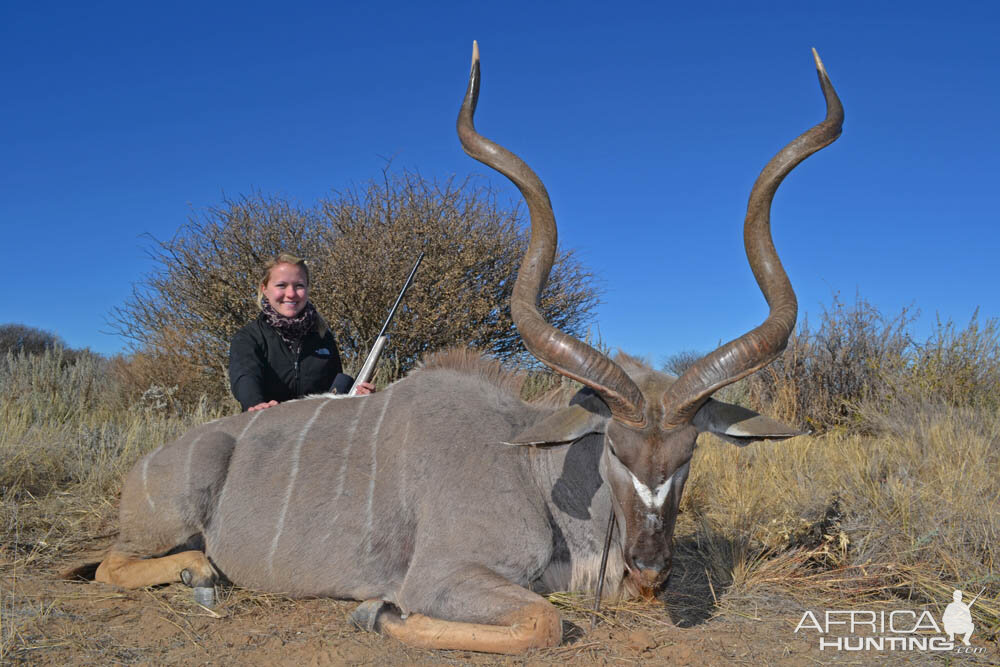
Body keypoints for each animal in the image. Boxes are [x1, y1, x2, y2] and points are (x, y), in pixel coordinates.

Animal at [92, 44, 844, 656]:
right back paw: (199, 571)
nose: (652, 567)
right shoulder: (443, 573)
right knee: (108, 565)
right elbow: (544, 620)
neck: (535, 469)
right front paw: (376, 613)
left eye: (688, 454)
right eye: (615, 450)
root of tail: (146, 466)